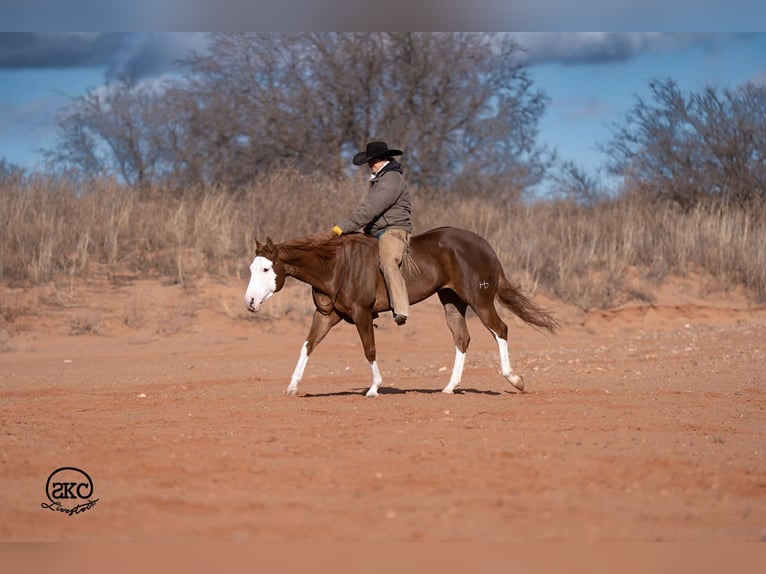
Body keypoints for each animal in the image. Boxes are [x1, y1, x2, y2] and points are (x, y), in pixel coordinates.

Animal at [245, 226, 558, 397]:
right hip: (452, 302)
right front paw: (292, 386)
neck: (335, 264)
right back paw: (450, 386)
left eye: (266, 268)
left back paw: (514, 379)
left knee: (500, 330)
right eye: (251, 268)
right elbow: (308, 346)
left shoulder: (361, 314)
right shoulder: (325, 316)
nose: (249, 301)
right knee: (462, 338)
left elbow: (369, 349)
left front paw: (374, 387)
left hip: (480, 301)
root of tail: (486, 247)